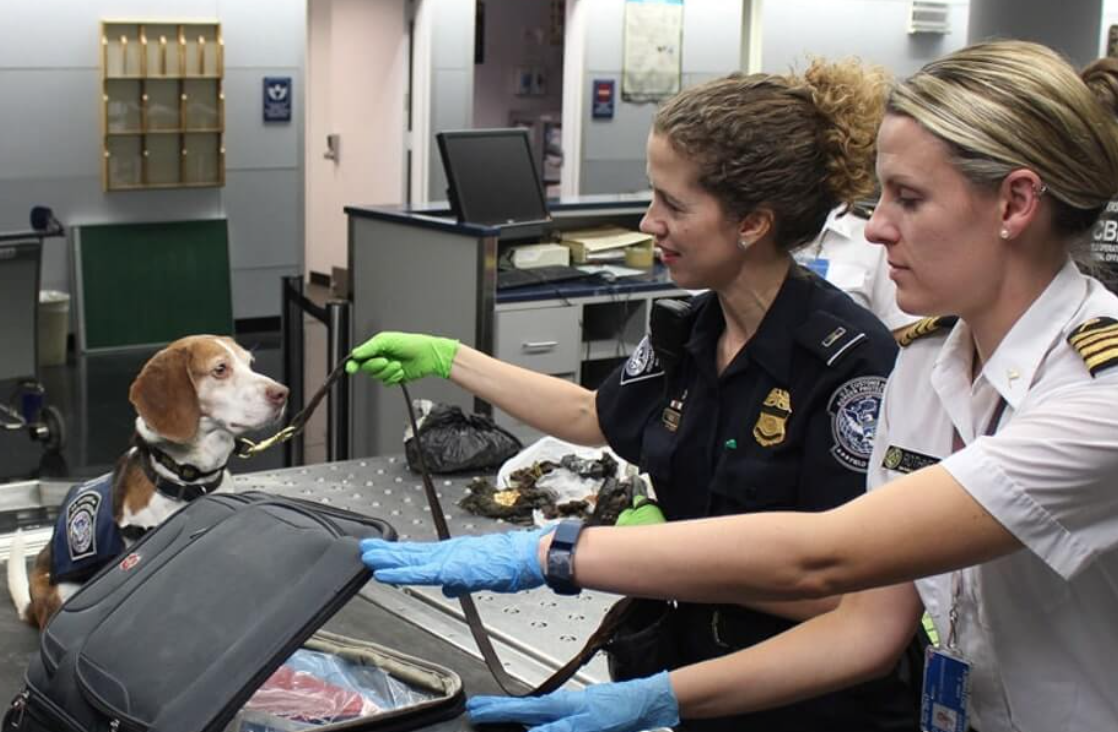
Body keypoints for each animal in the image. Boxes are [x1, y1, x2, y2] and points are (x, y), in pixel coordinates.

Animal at [7, 337, 288, 630]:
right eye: (220, 369)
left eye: (250, 363)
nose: (283, 393)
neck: (188, 478)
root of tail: (33, 606)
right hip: (63, 591)